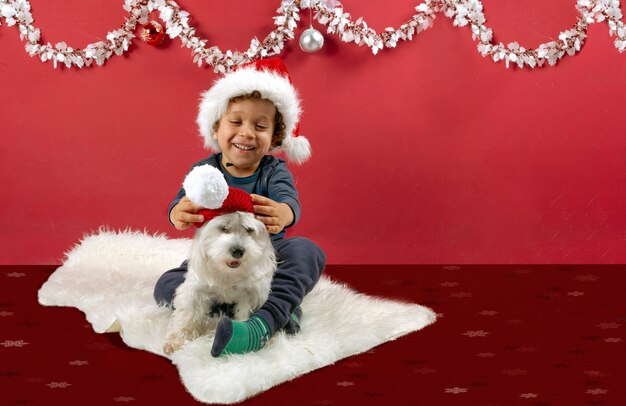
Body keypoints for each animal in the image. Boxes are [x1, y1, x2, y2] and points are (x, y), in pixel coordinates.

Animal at [162, 211, 274, 354]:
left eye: (249, 230)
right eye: (224, 228)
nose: (238, 251)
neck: (227, 272)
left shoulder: (249, 294)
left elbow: (244, 314)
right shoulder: (194, 290)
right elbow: (187, 314)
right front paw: (176, 340)